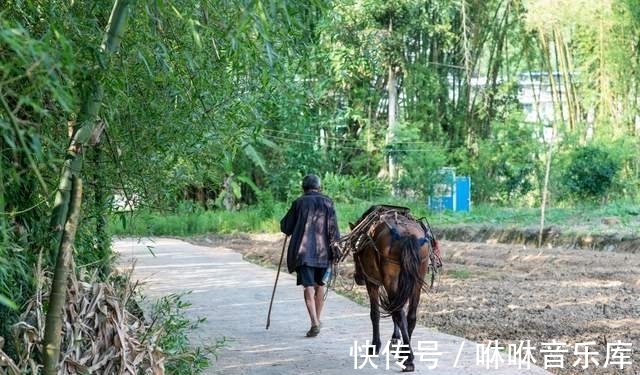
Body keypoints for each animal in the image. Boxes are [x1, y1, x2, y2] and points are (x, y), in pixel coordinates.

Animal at [338, 206, 442, 374]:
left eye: (354, 251)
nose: (358, 278)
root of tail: (408, 235)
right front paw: (395, 340)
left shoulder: (372, 282)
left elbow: (375, 314)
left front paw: (375, 346)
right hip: (415, 281)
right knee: (409, 315)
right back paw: (405, 354)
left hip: (390, 280)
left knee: (399, 313)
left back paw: (407, 358)